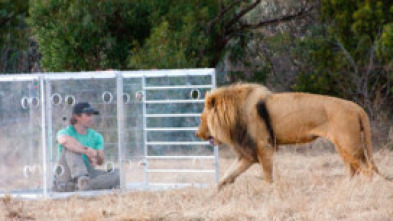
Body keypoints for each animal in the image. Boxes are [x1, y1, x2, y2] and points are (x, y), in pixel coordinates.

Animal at [196, 82, 388, 189]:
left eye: (202, 118)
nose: (197, 134)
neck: (237, 112)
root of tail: (357, 108)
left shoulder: (264, 147)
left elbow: (267, 176)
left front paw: (270, 193)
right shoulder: (248, 155)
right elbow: (227, 176)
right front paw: (215, 193)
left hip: (350, 145)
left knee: (366, 170)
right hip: (343, 147)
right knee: (353, 170)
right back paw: (347, 189)